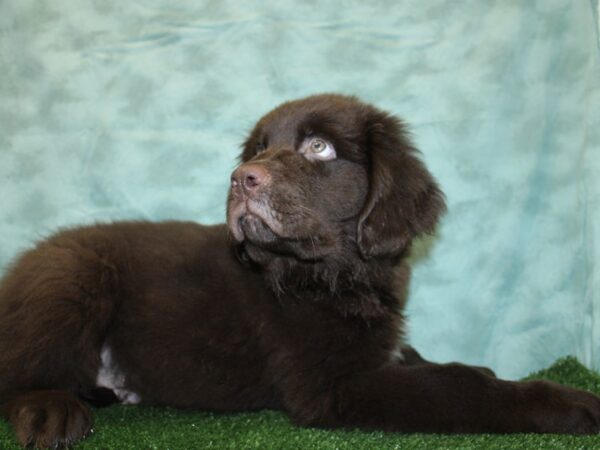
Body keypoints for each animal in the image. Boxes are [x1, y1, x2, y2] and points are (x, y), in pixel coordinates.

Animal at [1, 94, 600, 446]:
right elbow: (457, 387)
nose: (242, 178)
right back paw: (51, 412)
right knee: (18, 371)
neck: (329, 276)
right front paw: (571, 403)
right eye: (259, 149)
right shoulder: (331, 385)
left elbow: (428, 361)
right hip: (73, 274)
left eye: (319, 147)